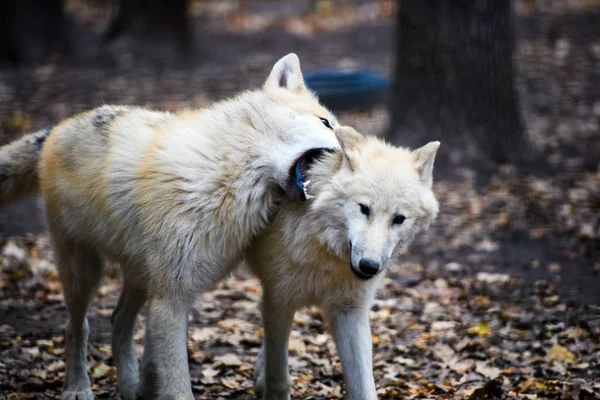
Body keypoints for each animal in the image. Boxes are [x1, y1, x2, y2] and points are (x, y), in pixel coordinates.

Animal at [0, 54, 342, 400]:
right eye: (326, 123)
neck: (222, 178)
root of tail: (59, 127)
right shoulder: (171, 299)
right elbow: (178, 384)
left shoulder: (177, 291)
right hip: (83, 270)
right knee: (76, 327)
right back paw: (77, 388)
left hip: (139, 278)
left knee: (118, 321)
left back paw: (131, 387)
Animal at [245, 127, 440, 400]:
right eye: (364, 208)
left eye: (399, 218)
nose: (369, 266)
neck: (322, 249)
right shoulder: (280, 301)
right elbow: (279, 377)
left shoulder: (351, 312)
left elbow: (364, 387)